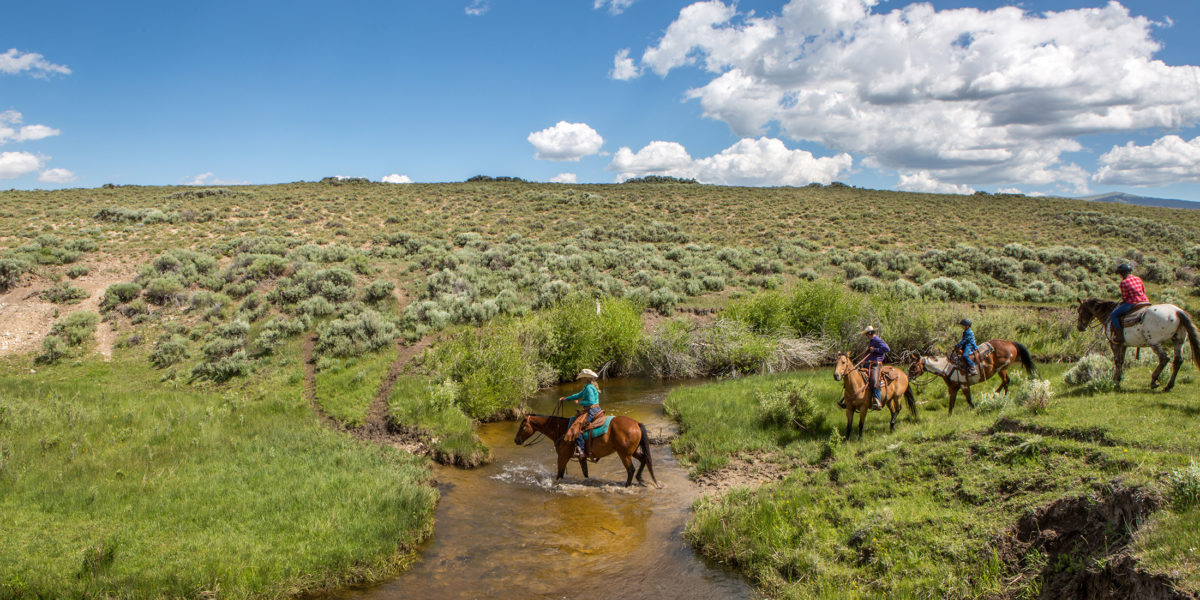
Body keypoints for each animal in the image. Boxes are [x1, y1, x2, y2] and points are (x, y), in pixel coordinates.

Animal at [513, 412, 662, 487]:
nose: (516, 440)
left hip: (624, 454)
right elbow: (585, 473)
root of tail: (636, 423)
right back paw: (640, 479)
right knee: (644, 460)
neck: (561, 429)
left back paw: (627, 485)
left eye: (522, 426)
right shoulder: (581, 457)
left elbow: (559, 474)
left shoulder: (562, 456)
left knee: (631, 469)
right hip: (634, 451)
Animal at [902, 340, 1036, 415]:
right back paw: (1001, 396)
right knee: (1006, 381)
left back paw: (995, 395)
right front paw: (949, 417)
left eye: (914, 366)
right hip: (1002, 370)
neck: (947, 367)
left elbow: (969, 401)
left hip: (1002, 369)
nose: (907, 377)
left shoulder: (965, 385)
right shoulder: (953, 388)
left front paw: (975, 409)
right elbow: (951, 404)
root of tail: (1011, 343)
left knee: (1006, 381)